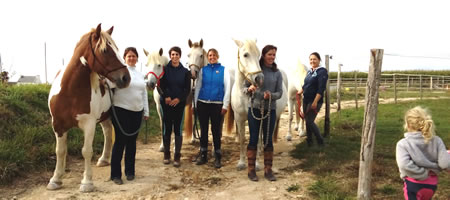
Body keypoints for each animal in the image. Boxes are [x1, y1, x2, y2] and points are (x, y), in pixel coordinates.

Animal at [47, 23, 130, 192]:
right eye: (105, 50)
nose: (126, 78)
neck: (69, 92)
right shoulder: (58, 125)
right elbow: (60, 151)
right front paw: (56, 179)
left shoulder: (89, 124)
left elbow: (86, 151)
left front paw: (87, 182)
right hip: (105, 116)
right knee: (107, 132)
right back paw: (104, 159)